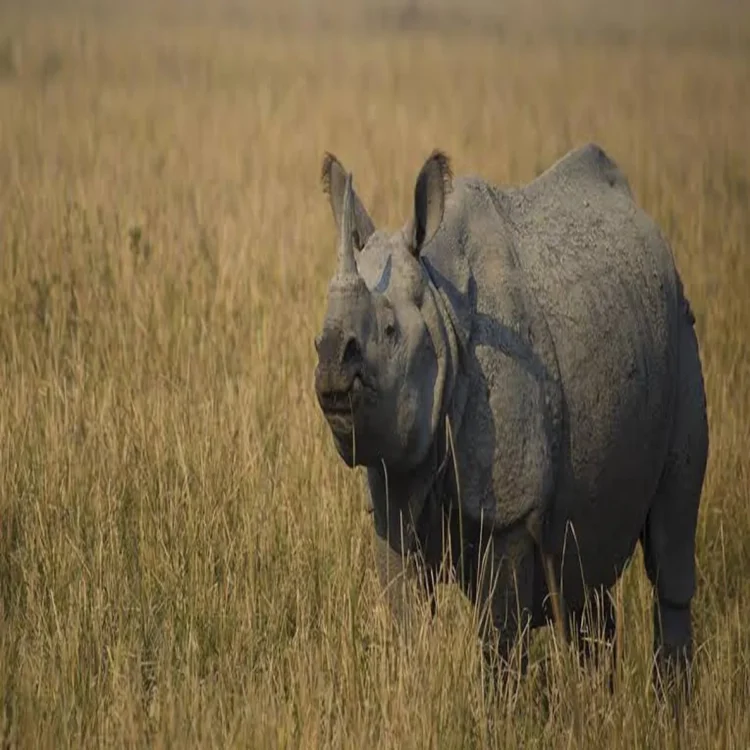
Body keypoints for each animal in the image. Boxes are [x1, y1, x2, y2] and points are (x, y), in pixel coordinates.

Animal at [313, 143, 708, 694]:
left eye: (389, 331)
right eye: (318, 335)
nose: (331, 365)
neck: (440, 309)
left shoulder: (511, 510)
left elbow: (499, 636)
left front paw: (496, 708)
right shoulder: (394, 480)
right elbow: (405, 619)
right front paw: (409, 690)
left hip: (681, 330)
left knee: (670, 546)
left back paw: (670, 705)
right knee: (585, 573)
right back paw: (601, 700)